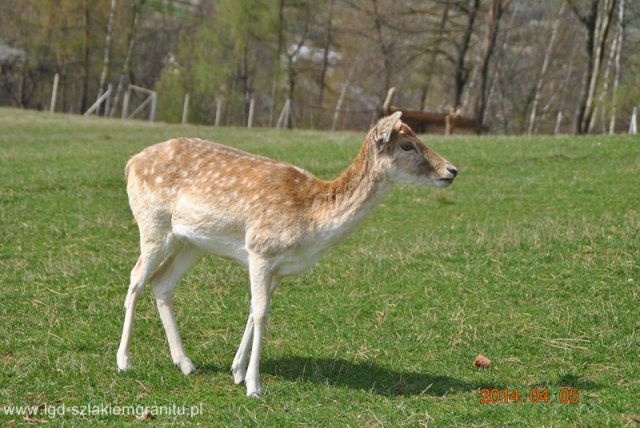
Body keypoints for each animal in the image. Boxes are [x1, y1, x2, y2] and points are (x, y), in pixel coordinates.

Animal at [115, 111, 456, 398]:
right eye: (408, 144)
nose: (451, 170)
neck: (312, 224)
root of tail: (130, 163)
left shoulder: (279, 268)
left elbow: (254, 310)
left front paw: (237, 372)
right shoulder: (260, 249)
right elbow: (261, 313)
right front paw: (253, 386)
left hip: (190, 243)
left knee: (161, 283)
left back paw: (185, 363)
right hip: (153, 225)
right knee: (136, 279)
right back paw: (124, 361)